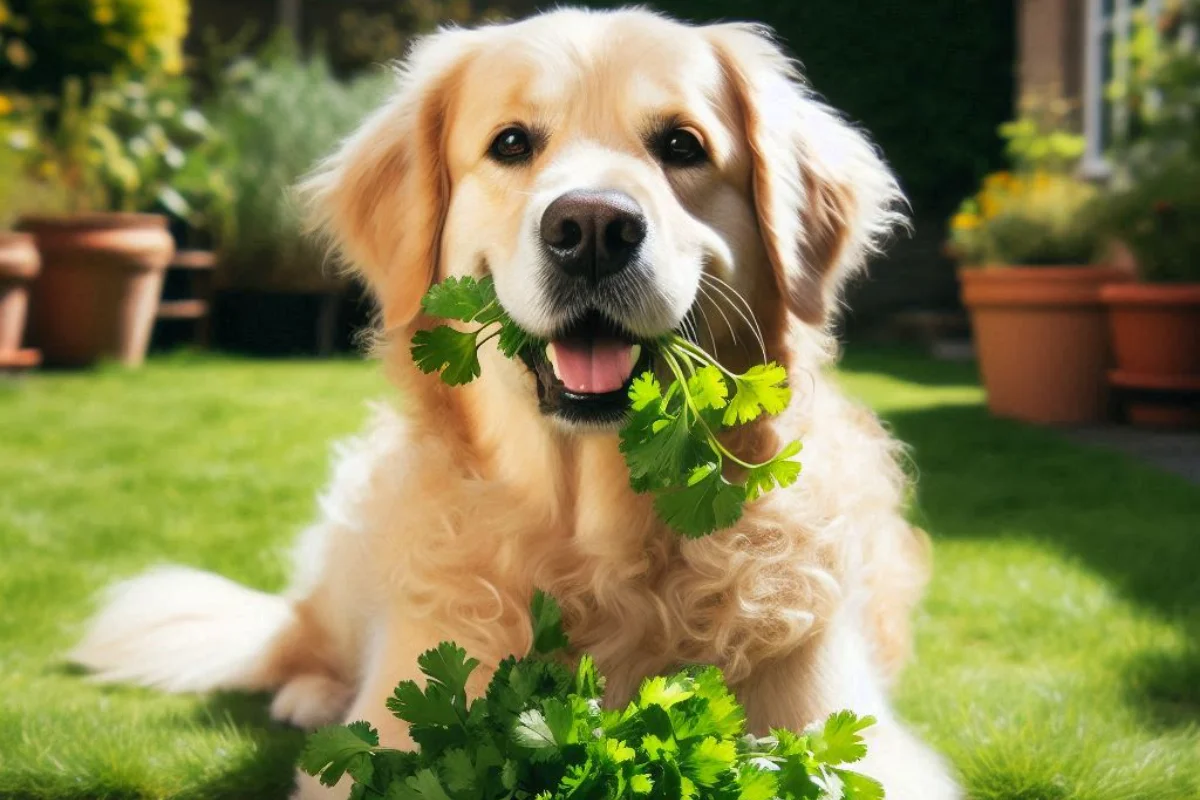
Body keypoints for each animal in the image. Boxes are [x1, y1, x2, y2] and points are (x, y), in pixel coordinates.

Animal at [72, 7, 955, 800]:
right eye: (510, 144)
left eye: (682, 145)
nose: (593, 227)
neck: (597, 545)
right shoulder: (401, 720)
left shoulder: (848, 731)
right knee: (303, 635)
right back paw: (311, 692)